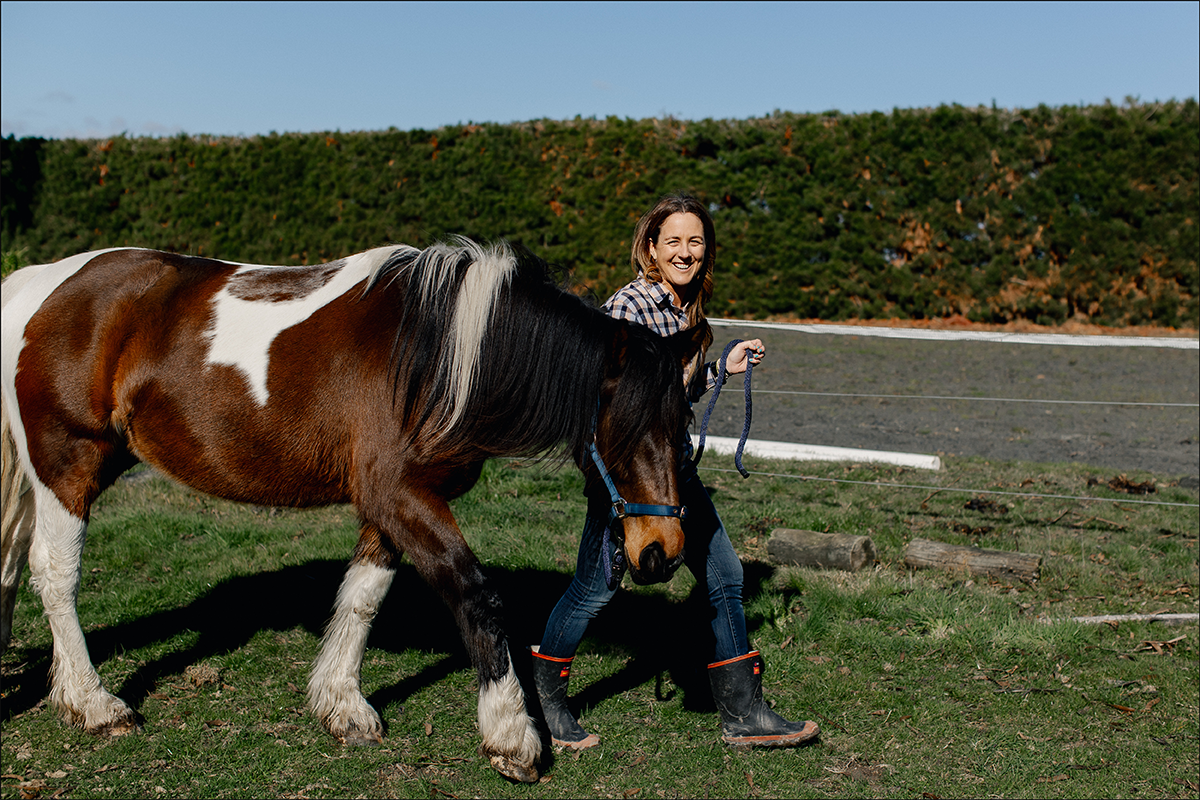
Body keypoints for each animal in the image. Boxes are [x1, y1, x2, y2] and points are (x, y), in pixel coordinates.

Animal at [0, 239, 705, 783]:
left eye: (683, 426)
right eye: (626, 430)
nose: (660, 552)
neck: (441, 357)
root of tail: (36, 284)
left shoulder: (392, 504)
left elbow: (365, 595)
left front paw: (342, 704)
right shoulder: (399, 495)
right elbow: (477, 594)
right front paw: (512, 735)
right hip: (68, 464)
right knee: (55, 573)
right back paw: (95, 704)